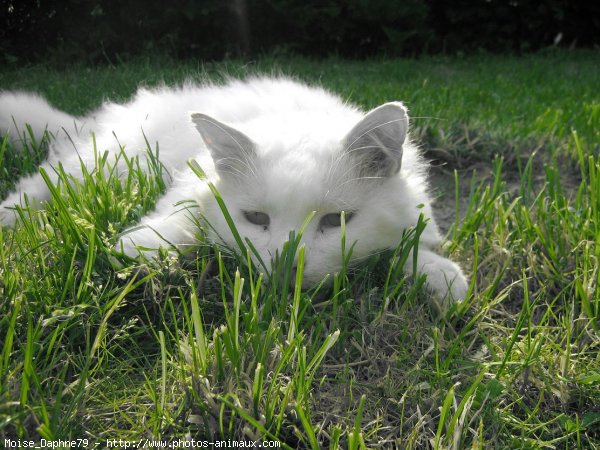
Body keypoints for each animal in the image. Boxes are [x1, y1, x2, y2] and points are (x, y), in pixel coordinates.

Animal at [0, 76, 468, 302]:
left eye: (337, 222)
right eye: (256, 219)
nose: (285, 266)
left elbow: (409, 247)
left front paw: (442, 281)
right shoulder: (192, 177)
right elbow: (181, 215)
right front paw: (139, 248)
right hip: (101, 161)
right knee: (37, 186)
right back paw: (9, 219)